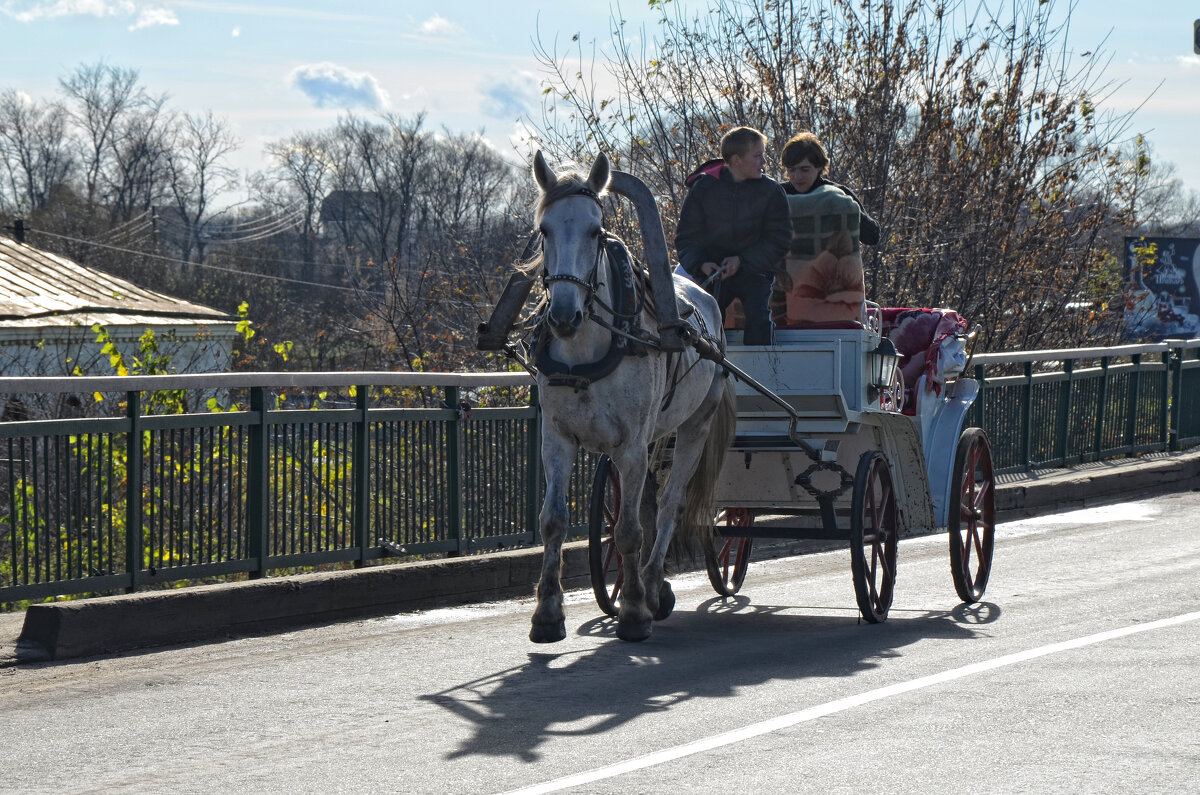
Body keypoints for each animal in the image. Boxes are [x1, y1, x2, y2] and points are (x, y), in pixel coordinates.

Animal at [532, 152, 734, 643]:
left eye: (595, 231)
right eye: (544, 230)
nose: (563, 315)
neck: (586, 353)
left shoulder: (630, 446)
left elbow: (628, 530)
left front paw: (635, 611)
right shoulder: (557, 439)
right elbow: (554, 520)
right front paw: (547, 612)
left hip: (695, 427)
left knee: (669, 506)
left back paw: (654, 585)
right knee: (649, 503)